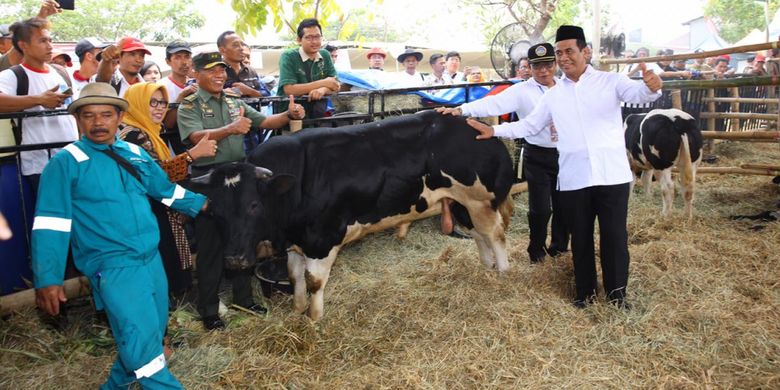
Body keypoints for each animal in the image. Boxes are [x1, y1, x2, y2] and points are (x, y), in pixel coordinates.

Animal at [188, 109, 516, 320]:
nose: (234, 260)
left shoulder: (322, 239)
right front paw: (296, 311)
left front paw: (313, 319)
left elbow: (313, 282)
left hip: (480, 201)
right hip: (462, 203)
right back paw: (486, 267)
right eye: (214, 208)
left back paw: (502, 273)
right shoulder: (298, 242)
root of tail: (482, 130)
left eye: (254, 205)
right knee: (479, 235)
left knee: (496, 235)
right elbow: (294, 277)